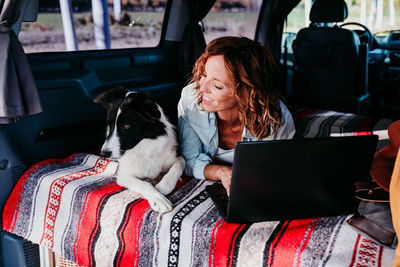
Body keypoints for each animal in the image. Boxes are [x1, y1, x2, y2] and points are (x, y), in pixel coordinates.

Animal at [94, 87, 185, 215]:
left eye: (126, 126)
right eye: (109, 126)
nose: (104, 153)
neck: (145, 147)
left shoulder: (177, 157)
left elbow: (177, 167)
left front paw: (164, 186)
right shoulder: (124, 175)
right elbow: (144, 184)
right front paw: (158, 199)